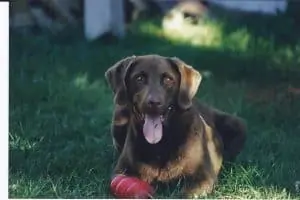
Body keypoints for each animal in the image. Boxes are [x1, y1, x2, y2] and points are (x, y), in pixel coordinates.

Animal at [105, 54, 246, 198]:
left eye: (168, 79)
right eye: (139, 78)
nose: (154, 102)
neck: (161, 144)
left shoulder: (203, 177)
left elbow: (185, 194)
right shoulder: (121, 171)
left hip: (237, 124)